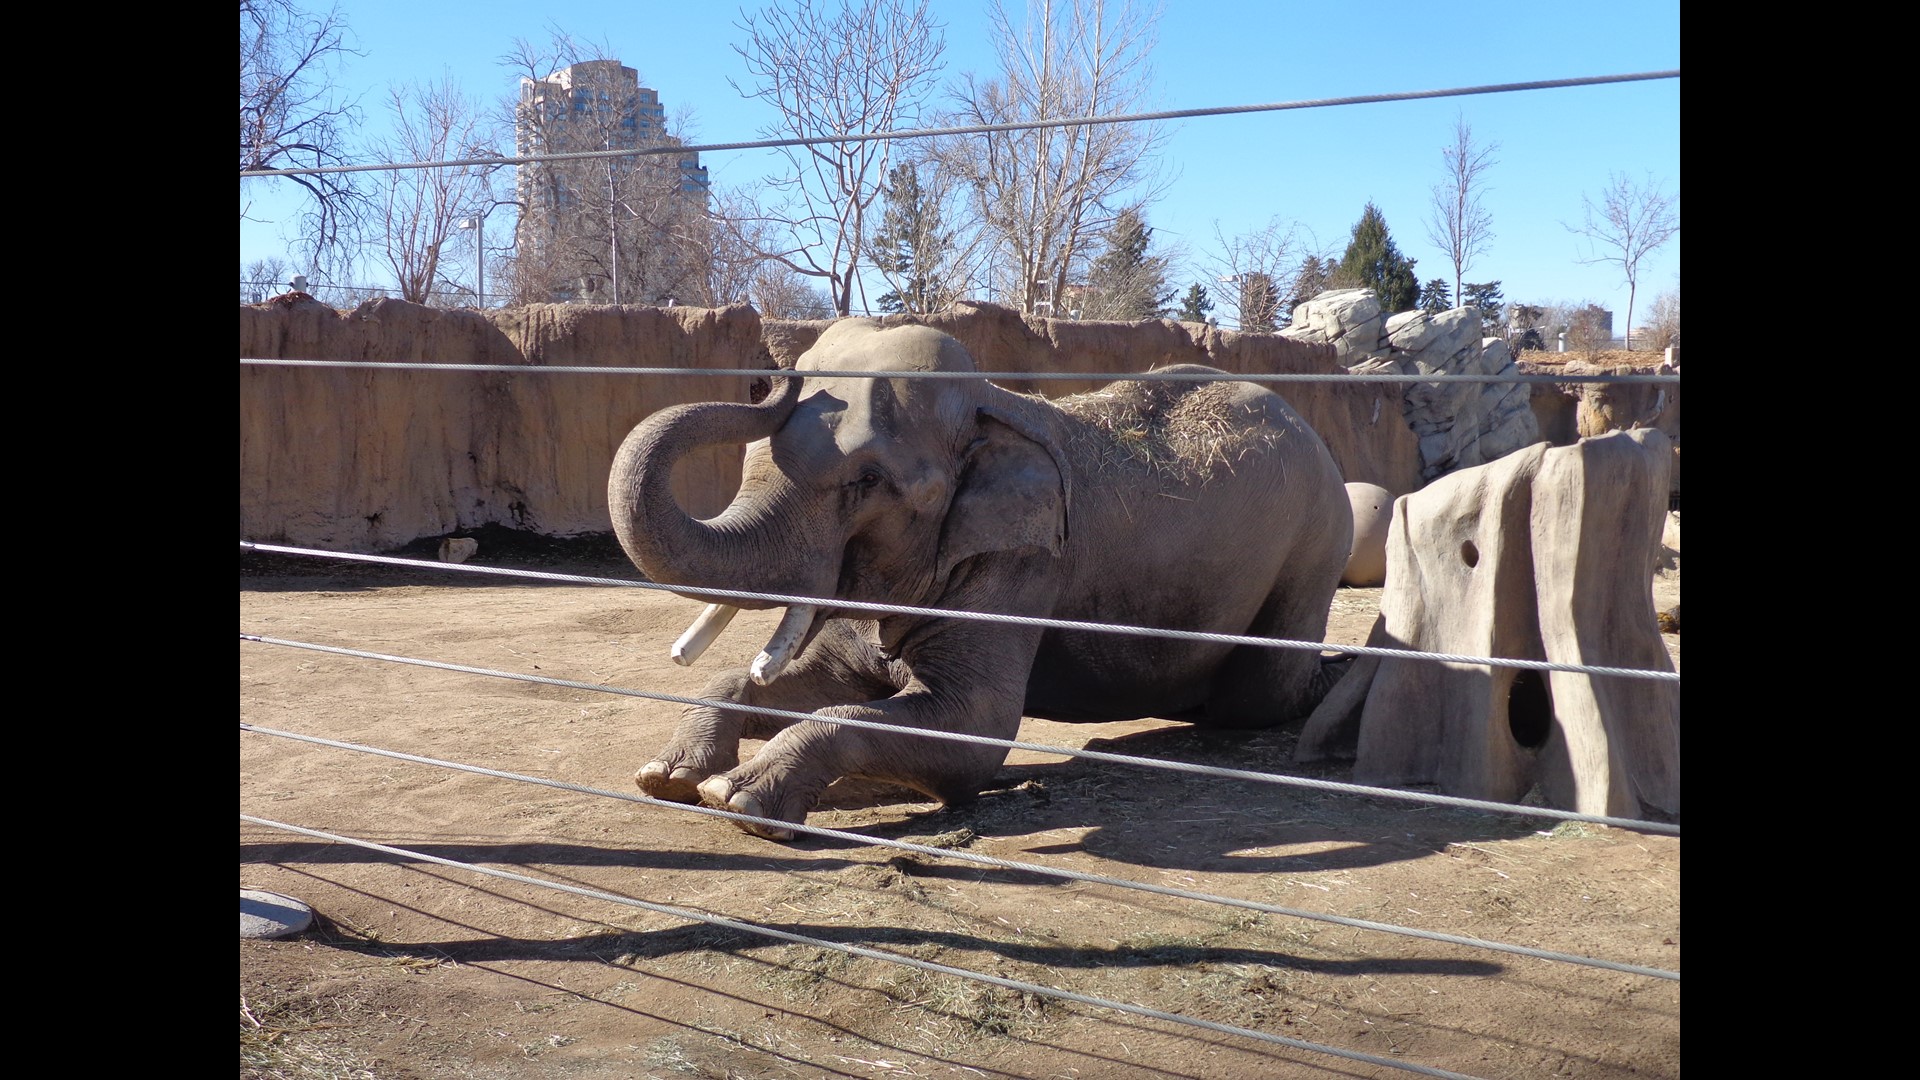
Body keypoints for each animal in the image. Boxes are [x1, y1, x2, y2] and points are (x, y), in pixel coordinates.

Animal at [609, 319, 1353, 839]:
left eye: (866, 482)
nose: (776, 379)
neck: (991, 405)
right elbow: (821, 685)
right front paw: (668, 778)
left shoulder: (1021, 559)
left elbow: (976, 729)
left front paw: (735, 799)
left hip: (1315, 548)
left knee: (1260, 695)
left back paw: (1336, 684)